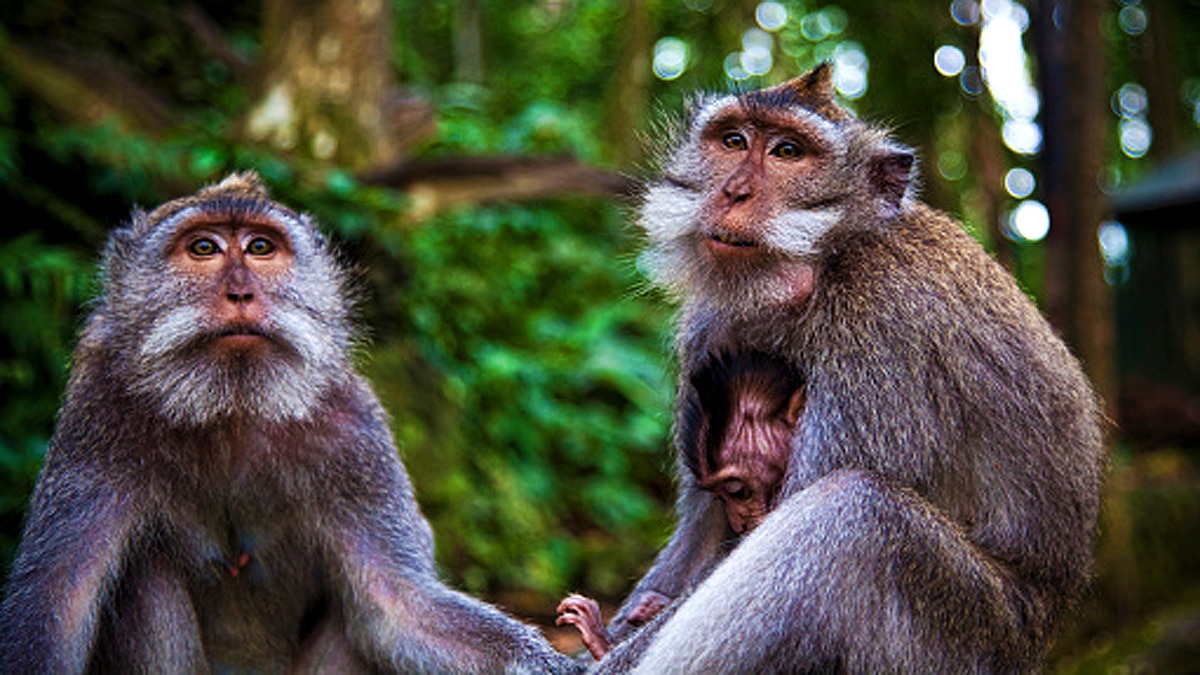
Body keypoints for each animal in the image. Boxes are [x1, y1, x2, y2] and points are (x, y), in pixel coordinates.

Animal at [0, 173, 578, 673]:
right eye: (203, 248)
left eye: (260, 248)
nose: (240, 293)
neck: (230, 407)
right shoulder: (96, 414)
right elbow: (54, 606)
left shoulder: (353, 434)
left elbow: (397, 606)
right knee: (144, 573)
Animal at [591, 63, 1106, 672]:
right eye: (733, 141)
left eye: (788, 152)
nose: (732, 191)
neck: (822, 265)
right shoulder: (709, 330)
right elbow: (702, 534)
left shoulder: (883, 333)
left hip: (968, 634)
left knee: (854, 512)